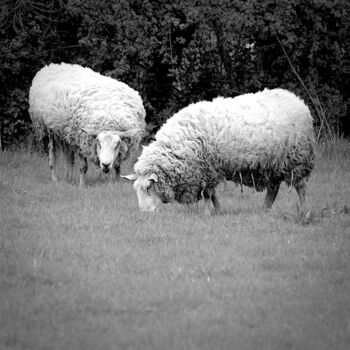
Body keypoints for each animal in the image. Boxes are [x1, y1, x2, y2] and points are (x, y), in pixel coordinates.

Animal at [122, 87, 314, 213]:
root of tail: (296, 100)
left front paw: (208, 213)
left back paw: (304, 210)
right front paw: (219, 211)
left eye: (148, 187)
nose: (145, 213)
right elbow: (213, 194)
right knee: (273, 189)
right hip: (273, 164)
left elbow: (208, 194)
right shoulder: (208, 170)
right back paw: (264, 210)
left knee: (301, 187)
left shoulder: (208, 168)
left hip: (298, 158)